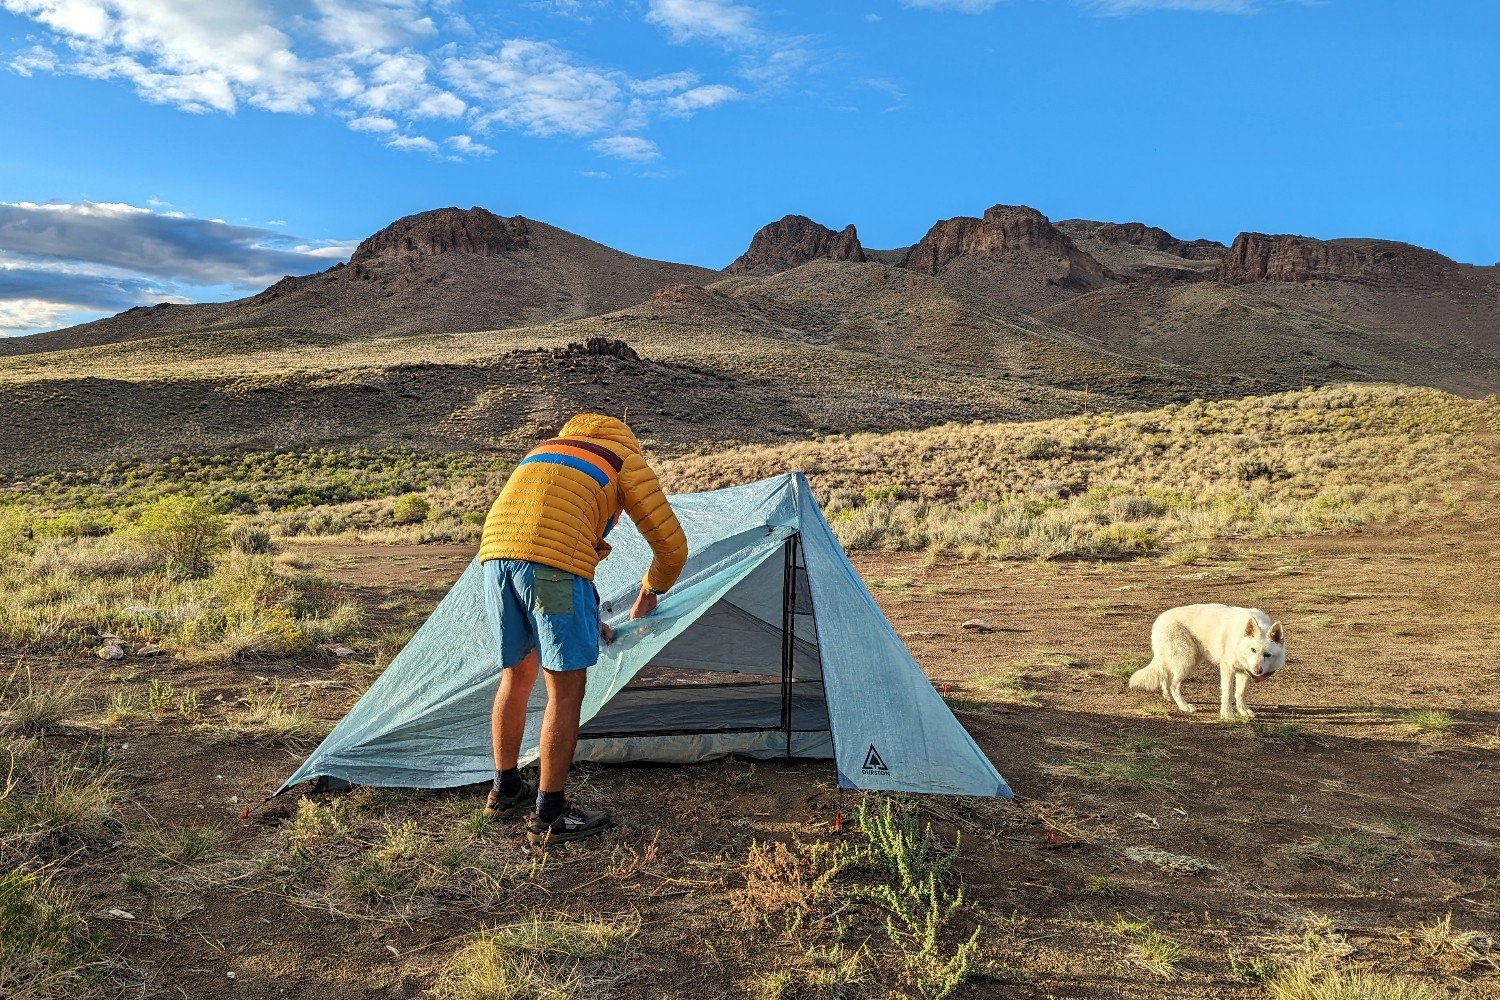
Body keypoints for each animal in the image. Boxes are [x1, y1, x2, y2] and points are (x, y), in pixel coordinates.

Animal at [1128, 602, 1284, 719]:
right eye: (1253, 650)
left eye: (1267, 655)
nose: (1258, 670)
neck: (1239, 639)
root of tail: (1158, 620)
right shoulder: (1227, 668)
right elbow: (1228, 693)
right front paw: (1227, 714)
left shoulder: (1244, 672)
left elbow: (1240, 693)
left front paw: (1243, 711)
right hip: (1187, 661)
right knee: (1173, 684)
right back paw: (1184, 706)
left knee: (1166, 676)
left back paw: (1168, 696)